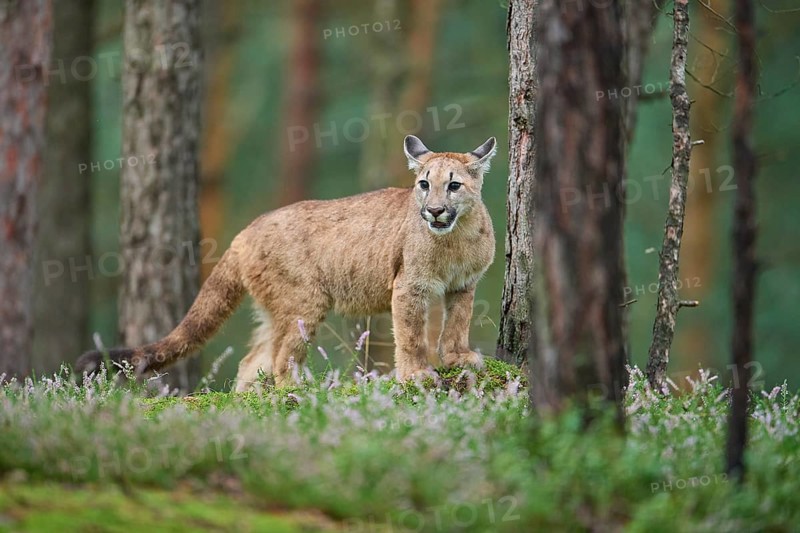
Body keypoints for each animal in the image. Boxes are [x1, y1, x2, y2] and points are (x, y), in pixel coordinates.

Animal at [77, 135, 497, 390]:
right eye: (424, 184)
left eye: (453, 185)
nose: (434, 211)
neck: (455, 236)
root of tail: (246, 231)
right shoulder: (410, 285)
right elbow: (410, 334)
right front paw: (416, 375)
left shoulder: (465, 285)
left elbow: (458, 323)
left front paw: (459, 357)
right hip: (304, 302)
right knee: (281, 359)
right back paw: (297, 391)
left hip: (279, 309)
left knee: (253, 359)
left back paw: (249, 402)